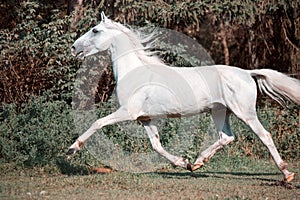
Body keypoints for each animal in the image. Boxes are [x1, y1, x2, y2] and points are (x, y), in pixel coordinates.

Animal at [68, 11, 300, 182]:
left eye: (95, 30)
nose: (73, 47)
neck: (135, 72)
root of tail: (247, 73)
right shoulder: (145, 118)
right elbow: (157, 145)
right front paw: (183, 163)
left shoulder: (128, 112)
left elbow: (98, 122)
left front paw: (72, 149)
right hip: (219, 112)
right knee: (226, 137)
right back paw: (198, 162)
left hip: (245, 113)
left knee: (265, 136)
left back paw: (287, 174)